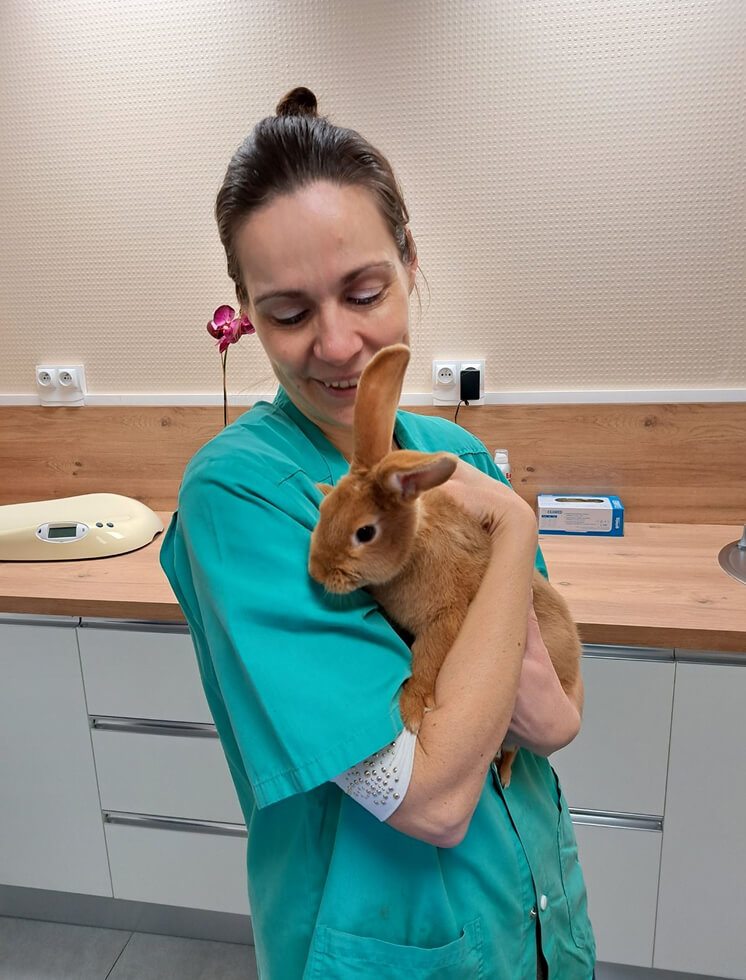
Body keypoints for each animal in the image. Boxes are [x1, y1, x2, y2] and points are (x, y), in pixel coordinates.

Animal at [308, 344, 583, 787]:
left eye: (364, 532)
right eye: (324, 511)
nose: (317, 573)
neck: (412, 548)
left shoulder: (446, 619)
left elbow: (426, 662)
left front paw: (412, 710)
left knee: (512, 749)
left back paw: (505, 774)